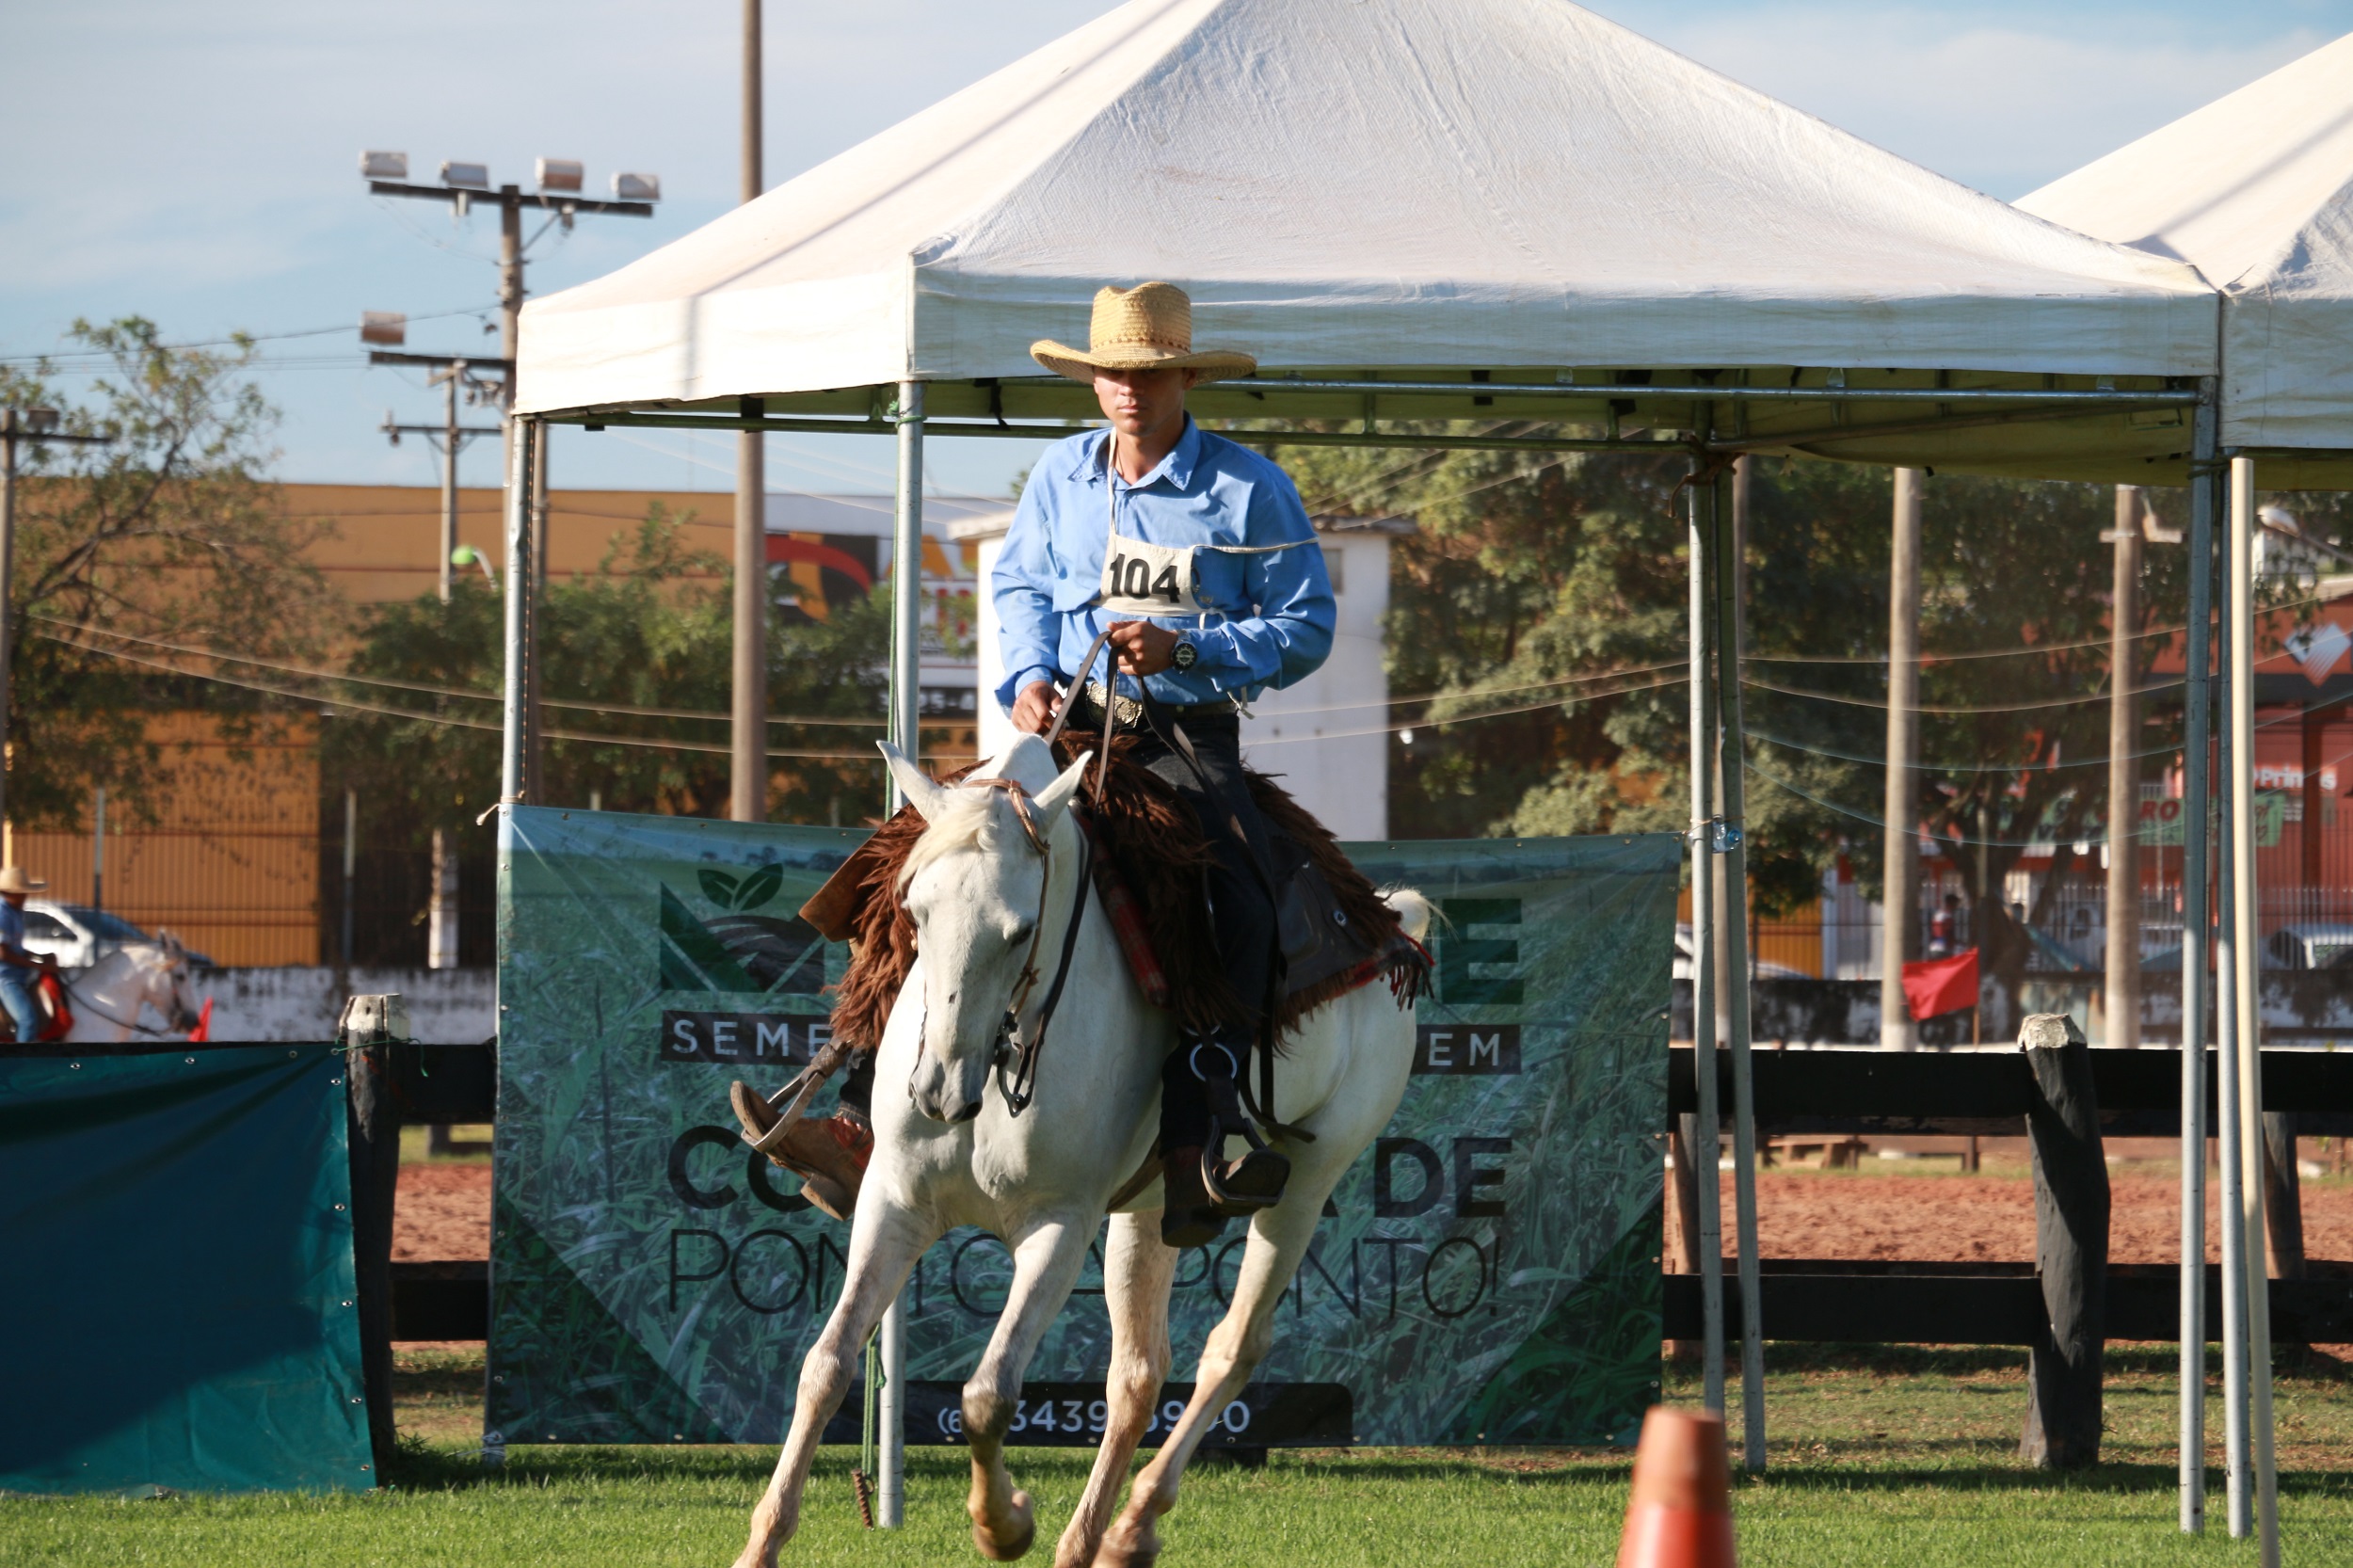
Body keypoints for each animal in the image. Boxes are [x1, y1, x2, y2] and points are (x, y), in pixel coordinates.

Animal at [734, 734, 1421, 1562]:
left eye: (1017, 930)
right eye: (913, 911)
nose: (936, 1090)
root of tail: (1390, 925)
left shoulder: (1058, 1225)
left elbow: (988, 1394)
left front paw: (1003, 1524)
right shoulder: (894, 1202)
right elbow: (827, 1364)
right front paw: (761, 1542)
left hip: (1308, 1182)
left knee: (1233, 1346)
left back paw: (1132, 1521)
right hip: (1149, 1211)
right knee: (1138, 1374)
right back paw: (1099, 1538)